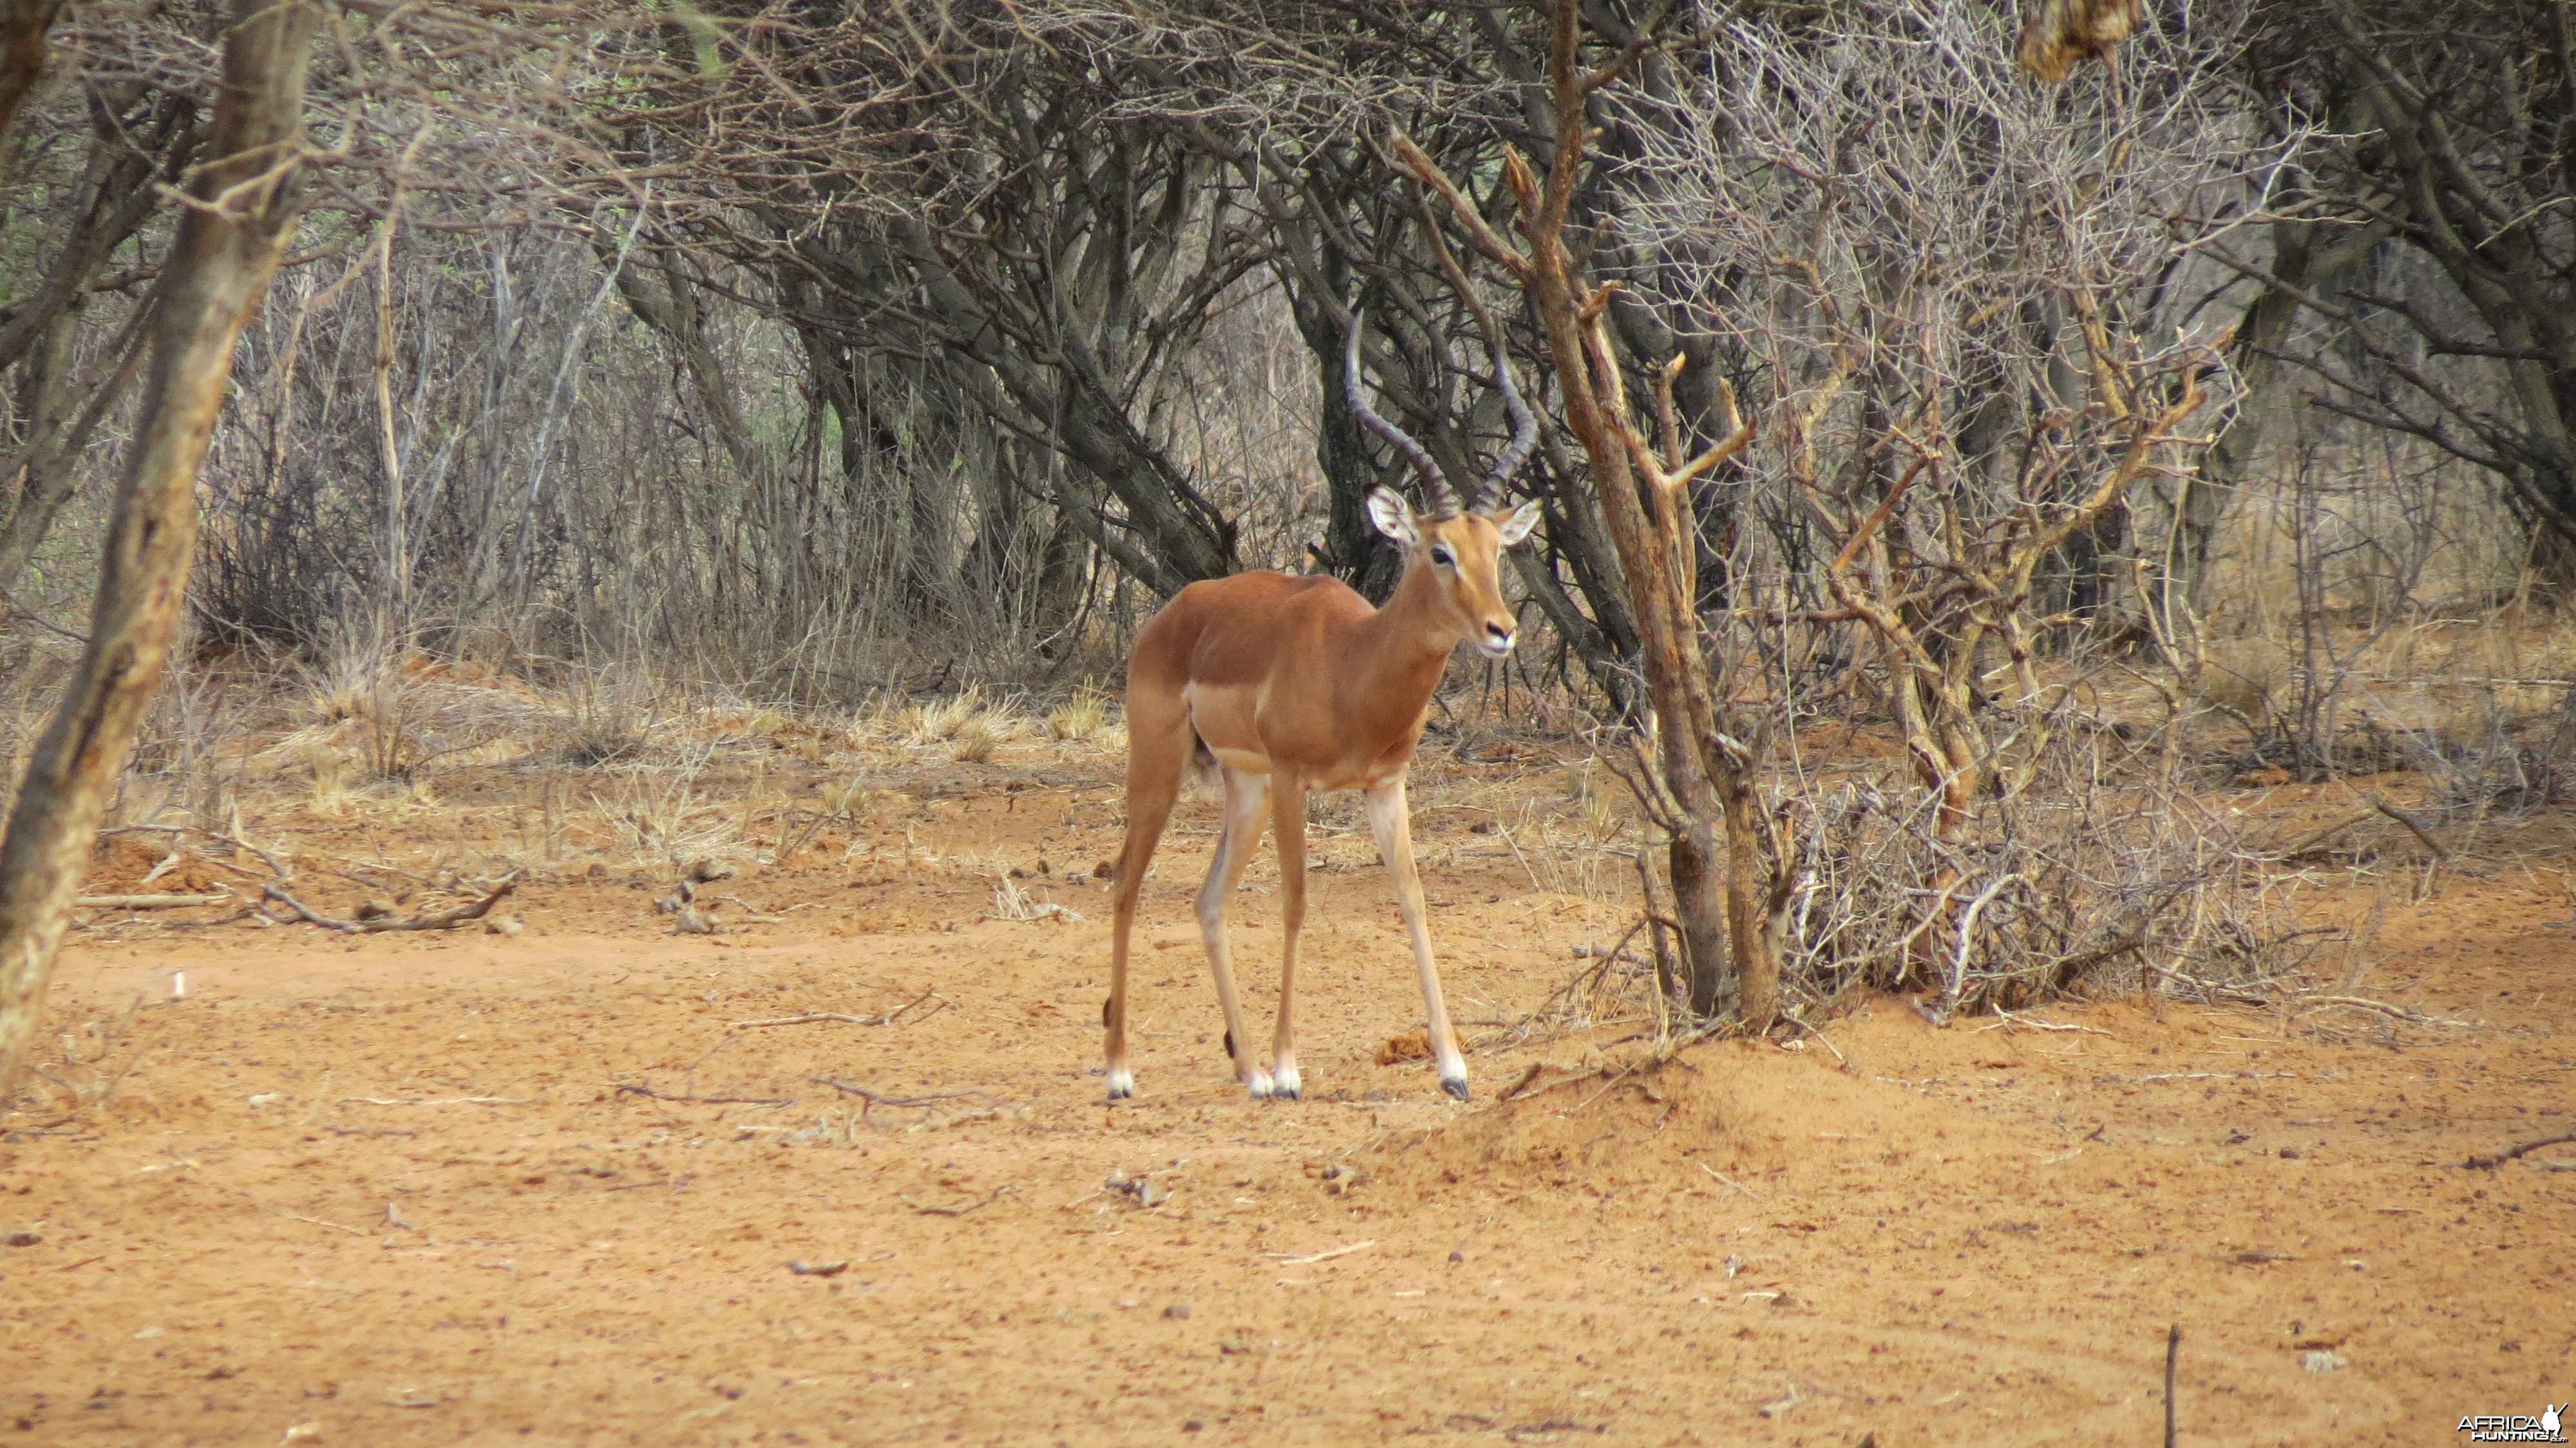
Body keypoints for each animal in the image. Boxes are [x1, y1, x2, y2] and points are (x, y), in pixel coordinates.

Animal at [1103, 316, 1525, 1098]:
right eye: (1439, 551)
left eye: (1496, 551)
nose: (1501, 630)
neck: (1352, 664)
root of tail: (1170, 615)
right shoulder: (1296, 780)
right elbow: (1297, 902)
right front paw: (1291, 1067)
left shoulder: (1384, 787)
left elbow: (1413, 898)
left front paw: (1453, 1068)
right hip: (1164, 768)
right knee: (1124, 882)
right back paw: (1120, 1073)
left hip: (1245, 788)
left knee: (1208, 900)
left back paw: (1247, 1072)